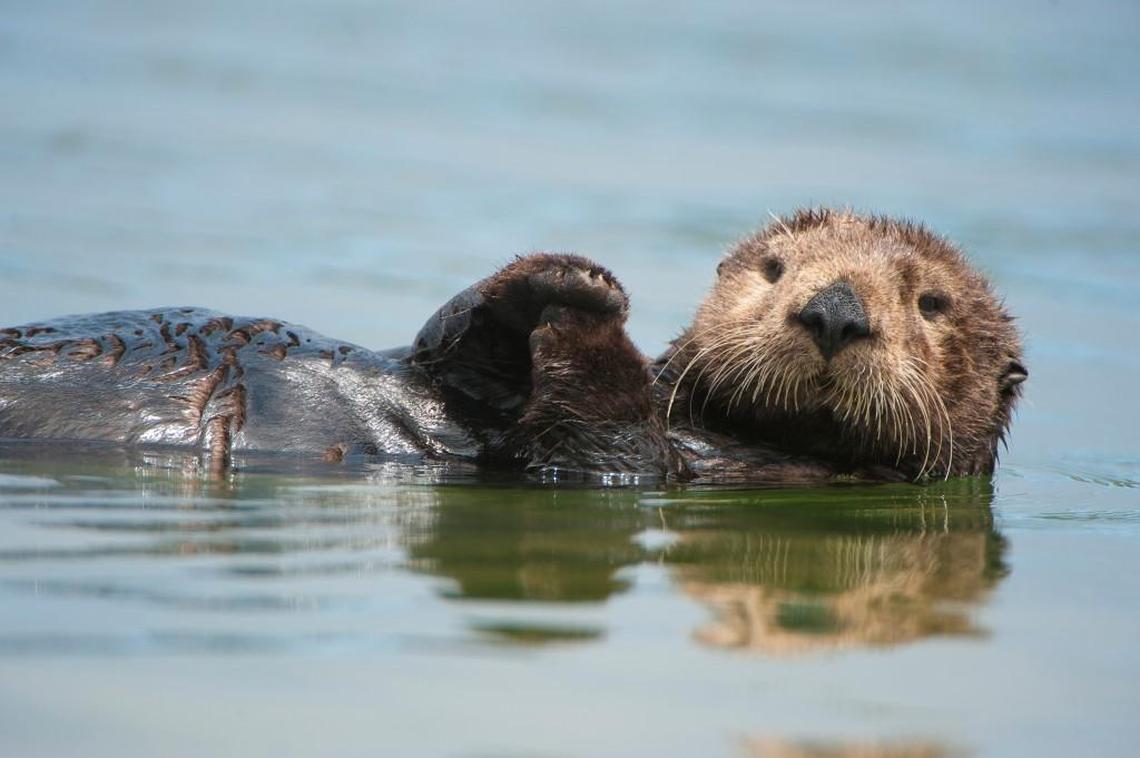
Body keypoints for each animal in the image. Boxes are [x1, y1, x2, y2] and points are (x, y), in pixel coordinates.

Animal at [0, 209, 1025, 483]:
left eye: (931, 302)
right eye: (776, 269)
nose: (834, 310)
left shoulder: (632, 465)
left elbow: (593, 438)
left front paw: (586, 303)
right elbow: (447, 345)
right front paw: (570, 275)